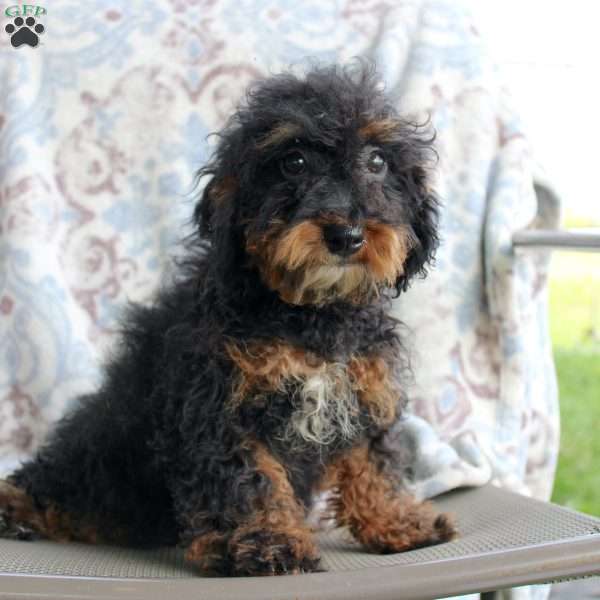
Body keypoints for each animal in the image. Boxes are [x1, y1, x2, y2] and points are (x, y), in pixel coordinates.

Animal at [0, 63, 454, 576]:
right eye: (294, 162)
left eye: (377, 161)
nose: (347, 235)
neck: (309, 313)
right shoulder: (218, 405)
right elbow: (250, 482)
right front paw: (269, 542)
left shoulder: (361, 390)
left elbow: (373, 463)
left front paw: (396, 521)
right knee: (54, 483)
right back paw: (15, 507)